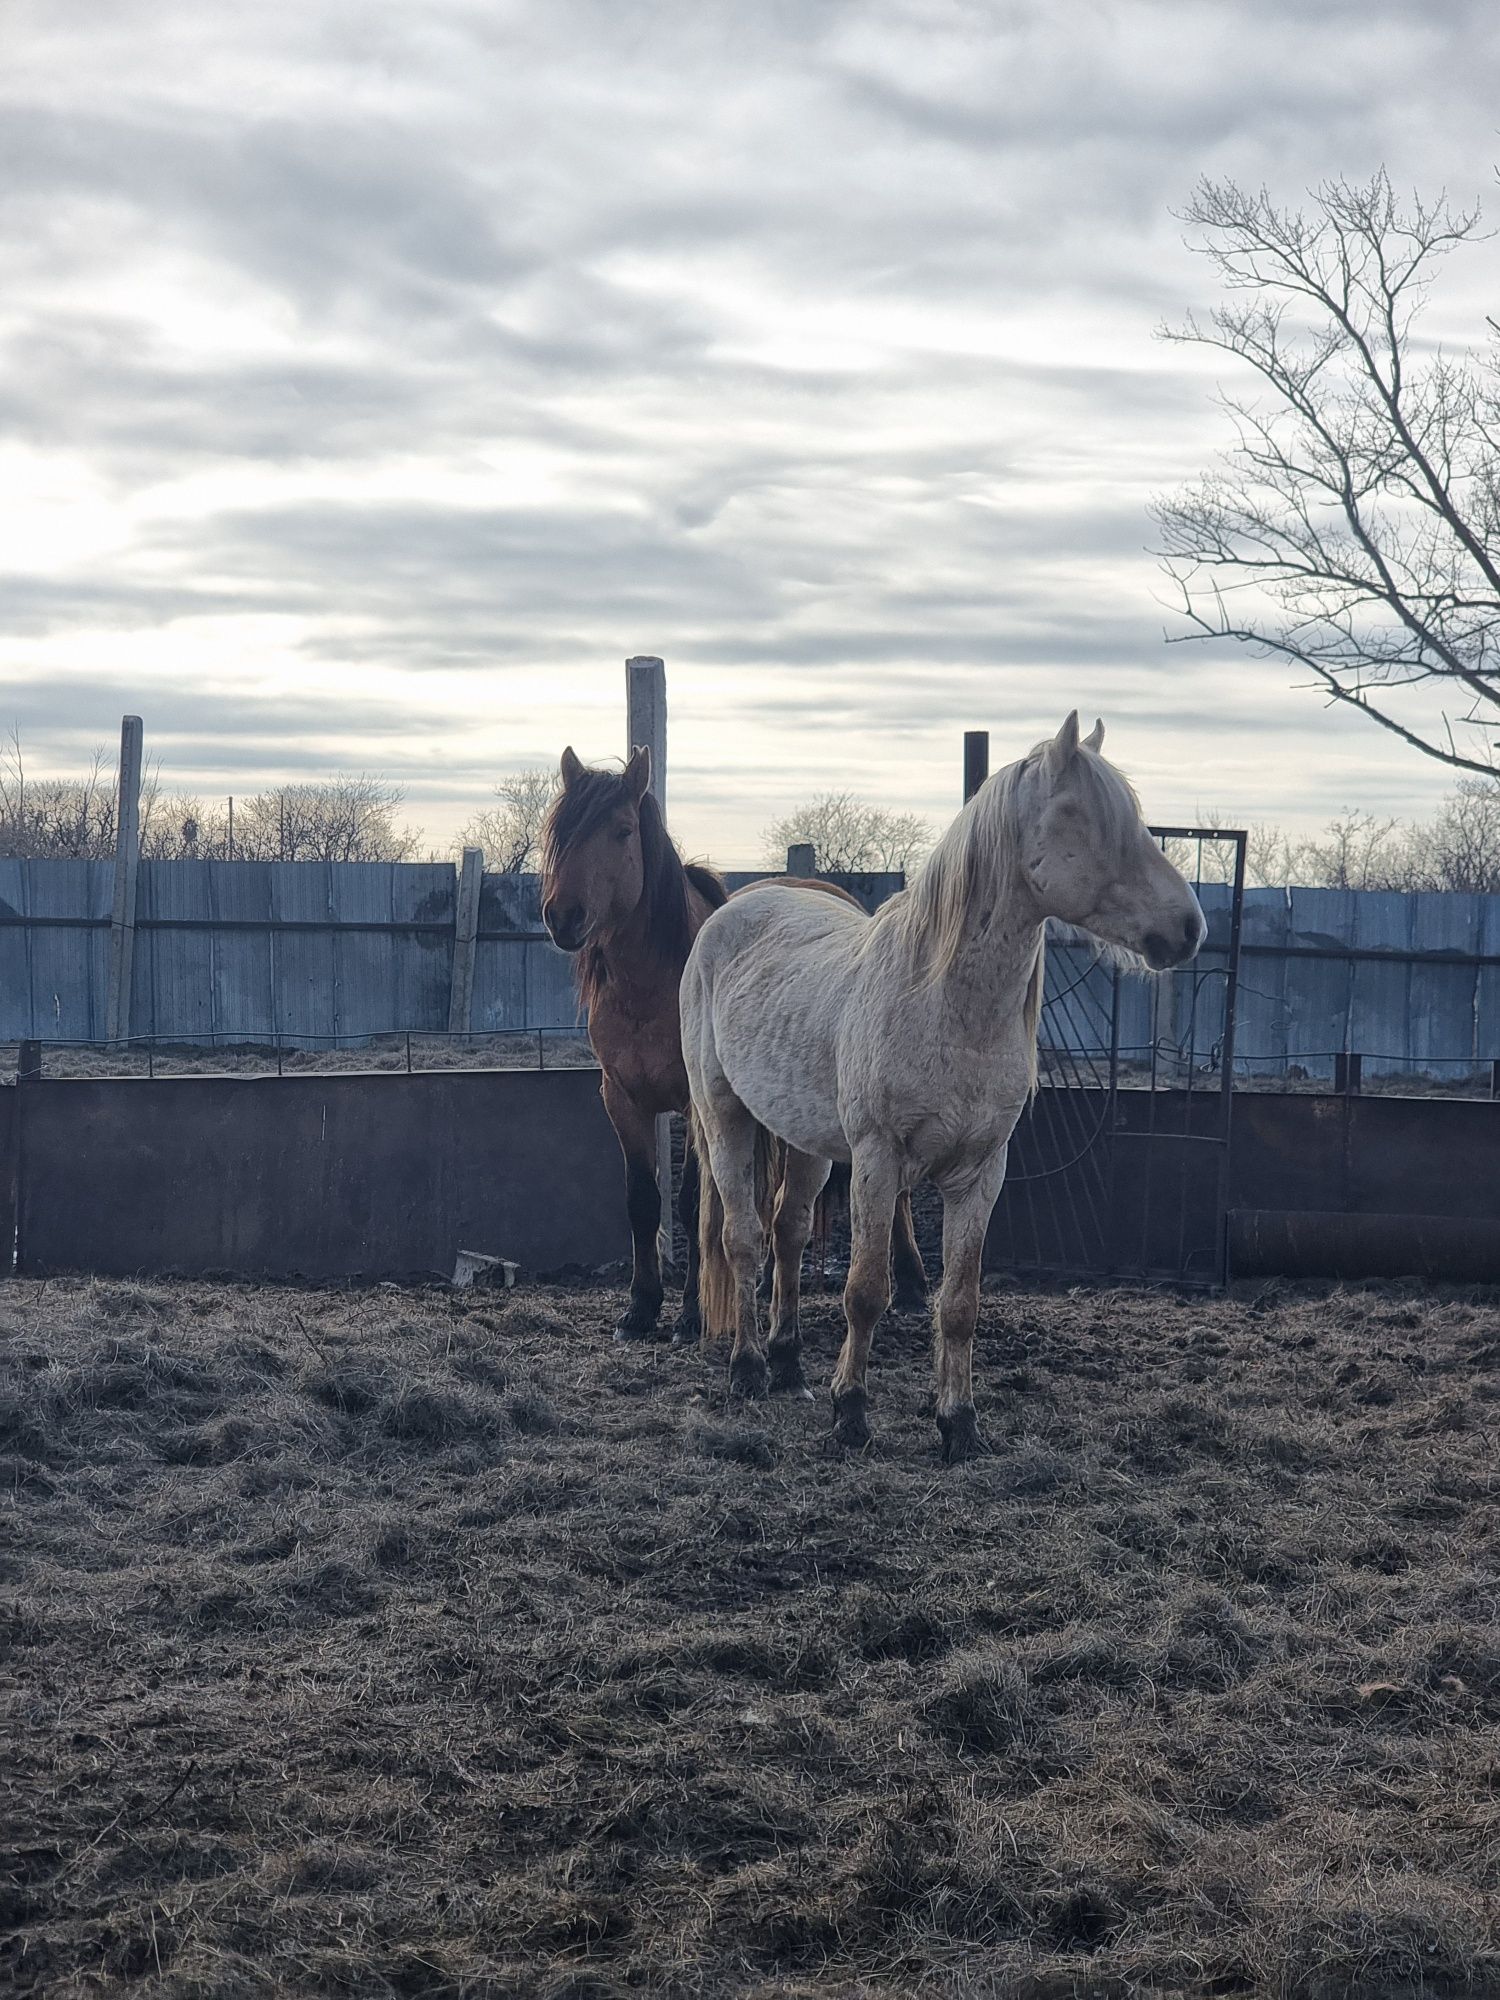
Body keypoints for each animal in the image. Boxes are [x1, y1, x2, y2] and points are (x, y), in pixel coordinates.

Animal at [540, 748, 928, 1344]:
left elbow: (694, 1204)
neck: (653, 987)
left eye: (622, 830)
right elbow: (642, 1200)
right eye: (560, 834)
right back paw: (769, 1284)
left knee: (897, 1192)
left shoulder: (698, 1104)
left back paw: (910, 1284)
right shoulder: (622, 1099)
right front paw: (640, 1308)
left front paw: (691, 1314)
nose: (564, 917)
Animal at [680, 712, 1208, 1464]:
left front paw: (958, 1423)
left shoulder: (980, 1172)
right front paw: (851, 1414)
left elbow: (959, 1303)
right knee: (744, 1239)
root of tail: (738, 906)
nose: (1187, 928)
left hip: (805, 1138)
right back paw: (749, 1369)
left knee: (787, 1232)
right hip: (723, 1113)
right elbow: (866, 1291)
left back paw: (787, 1366)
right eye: (1080, 816)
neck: (945, 1004)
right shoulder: (878, 1161)